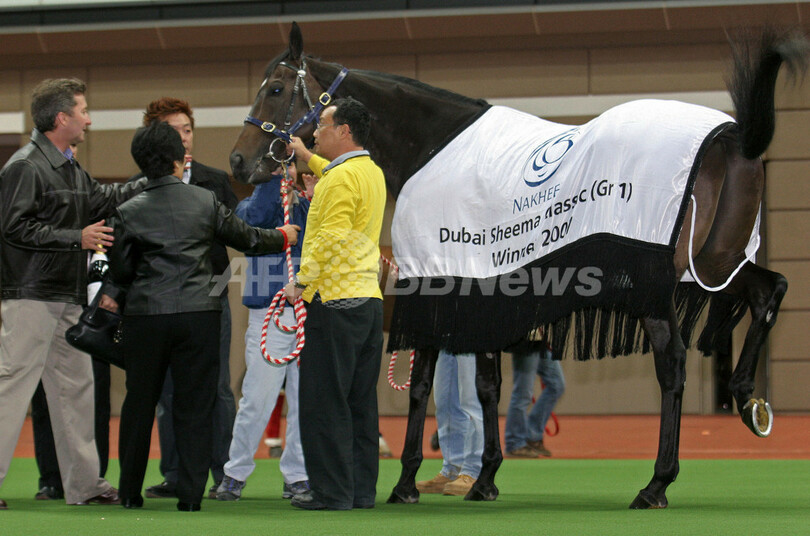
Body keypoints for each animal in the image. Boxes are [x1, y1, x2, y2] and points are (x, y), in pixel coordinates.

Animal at [229, 23, 808, 509]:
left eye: (275, 89)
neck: (432, 147)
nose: (238, 161)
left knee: (674, 367)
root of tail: (731, 136)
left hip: (659, 285)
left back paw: (657, 483)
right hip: (714, 262)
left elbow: (421, 385)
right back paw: (745, 398)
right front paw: (484, 479)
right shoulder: (482, 289)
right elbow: (488, 386)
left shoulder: (436, 288)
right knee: (770, 289)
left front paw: (406, 482)